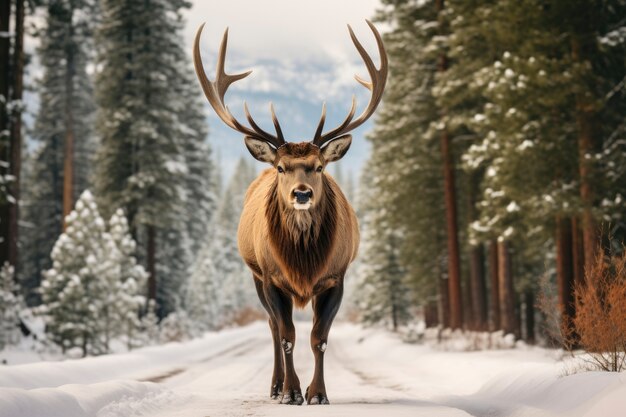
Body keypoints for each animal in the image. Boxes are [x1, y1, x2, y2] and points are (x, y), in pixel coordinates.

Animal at [193, 20, 386, 404]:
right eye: (282, 167)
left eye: (320, 166)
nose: (301, 193)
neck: (303, 262)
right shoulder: (271, 277)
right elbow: (286, 336)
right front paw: (291, 391)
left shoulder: (336, 277)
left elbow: (319, 338)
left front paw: (318, 393)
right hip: (254, 274)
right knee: (271, 326)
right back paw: (275, 385)